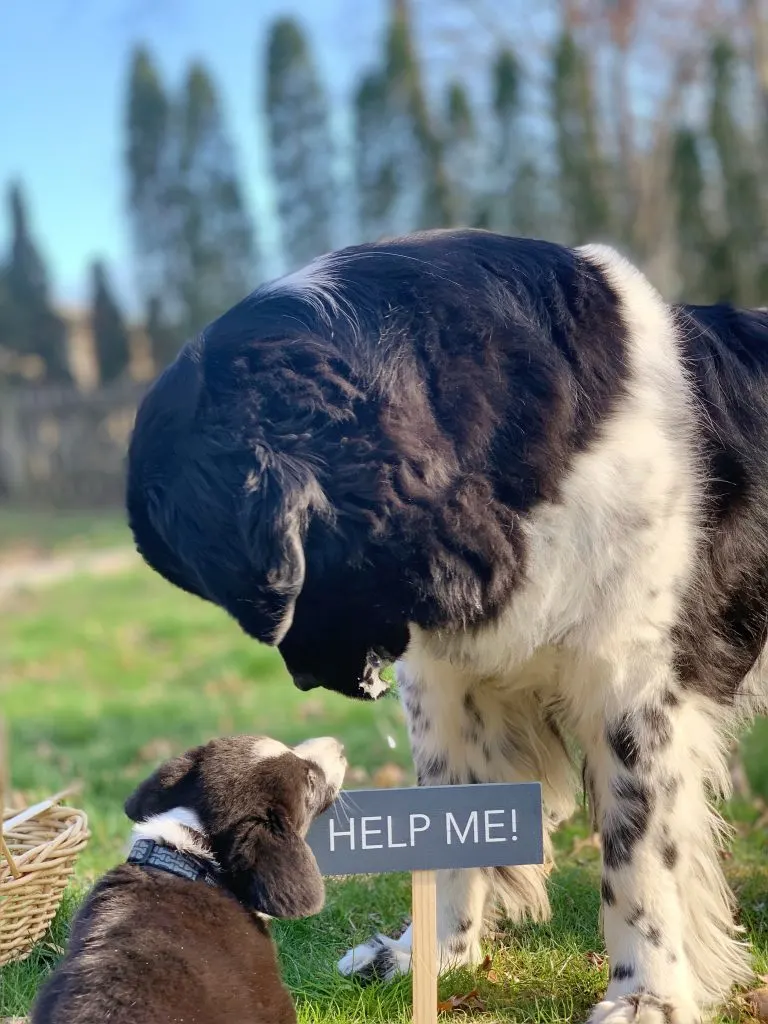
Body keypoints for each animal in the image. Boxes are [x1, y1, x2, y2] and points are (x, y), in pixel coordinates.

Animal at [126, 232, 768, 1024]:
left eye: (245, 590)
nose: (303, 679)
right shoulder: (449, 689)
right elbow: (447, 823)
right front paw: (429, 957)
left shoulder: (636, 684)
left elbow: (638, 850)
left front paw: (646, 995)